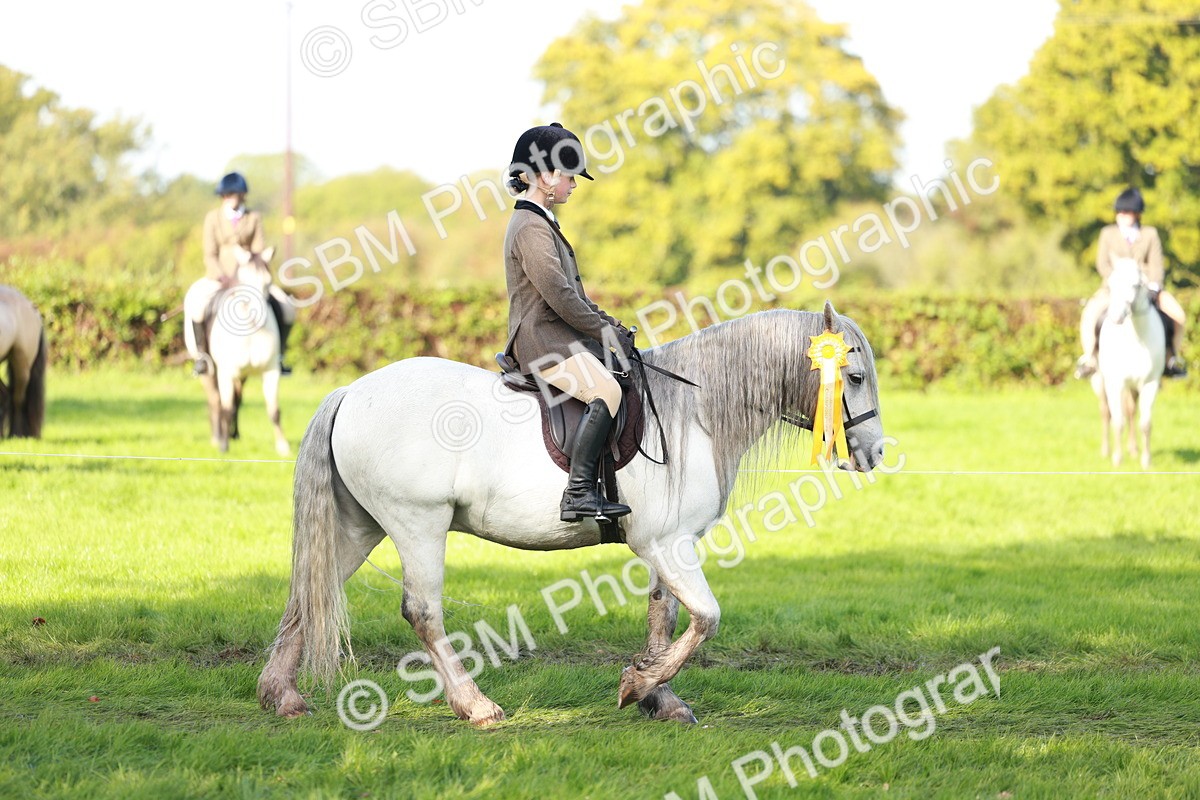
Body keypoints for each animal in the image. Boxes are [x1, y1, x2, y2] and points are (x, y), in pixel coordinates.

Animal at [192, 247, 289, 456]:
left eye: (268, 282)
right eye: (244, 282)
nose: (259, 317)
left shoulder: (271, 371)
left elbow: (274, 410)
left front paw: (283, 446)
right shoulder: (226, 373)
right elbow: (226, 407)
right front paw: (223, 447)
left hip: (242, 375)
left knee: (237, 399)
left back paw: (234, 434)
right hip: (209, 371)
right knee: (215, 400)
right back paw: (218, 437)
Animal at [258, 302, 885, 725]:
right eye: (852, 377)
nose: (876, 453)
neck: (696, 411)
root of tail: (351, 392)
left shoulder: (668, 543)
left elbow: (664, 616)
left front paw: (658, 696)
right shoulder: (666, 543)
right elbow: (705, 617)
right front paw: (638, 685)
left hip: (358, 525)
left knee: (309, 593)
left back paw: (280, 695)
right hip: (418, 523)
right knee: (422, 611)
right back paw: (476, 706)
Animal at [1090, 257, 1165, 469]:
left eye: (1136, 285)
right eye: (1111, 284)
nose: (1116, 317)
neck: (1136, 339)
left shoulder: (1149, 384)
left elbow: (1145, 423)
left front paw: (1146, 461)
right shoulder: (1115, 384)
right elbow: (1118, 420)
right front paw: (1117, 459)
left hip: (1133, 387)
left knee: (1131, 411)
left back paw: (1133, 449)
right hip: (1100, 381)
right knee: (1106, 412)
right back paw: (1106, 451)